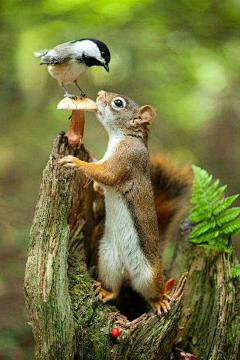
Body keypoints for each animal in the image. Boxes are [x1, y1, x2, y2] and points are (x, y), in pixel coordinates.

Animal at [59, 90, 192, 316]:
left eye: (118, 103)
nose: (99, 94)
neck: (124, 136)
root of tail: (127, 270)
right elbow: (101, 181)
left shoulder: (126, 160)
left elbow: (106, 174)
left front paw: (75, 162)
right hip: (107, 259)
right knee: (115, 287)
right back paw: (105, 291)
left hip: (149, 275)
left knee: (151, 292)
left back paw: (159, 301)